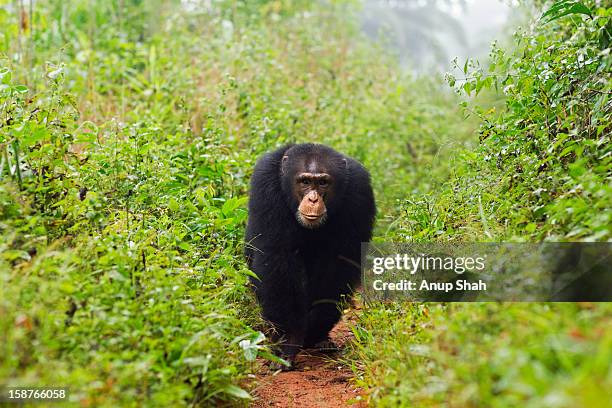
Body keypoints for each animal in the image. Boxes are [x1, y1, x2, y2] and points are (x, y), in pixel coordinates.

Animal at [246, 143, 376, 366]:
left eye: (323, 182)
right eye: (305, 181)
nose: (313, 198)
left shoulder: (360, 191)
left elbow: (340, 262)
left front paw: (316, 326)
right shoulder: (265, 182)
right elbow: (278, 256)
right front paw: (288, 339)